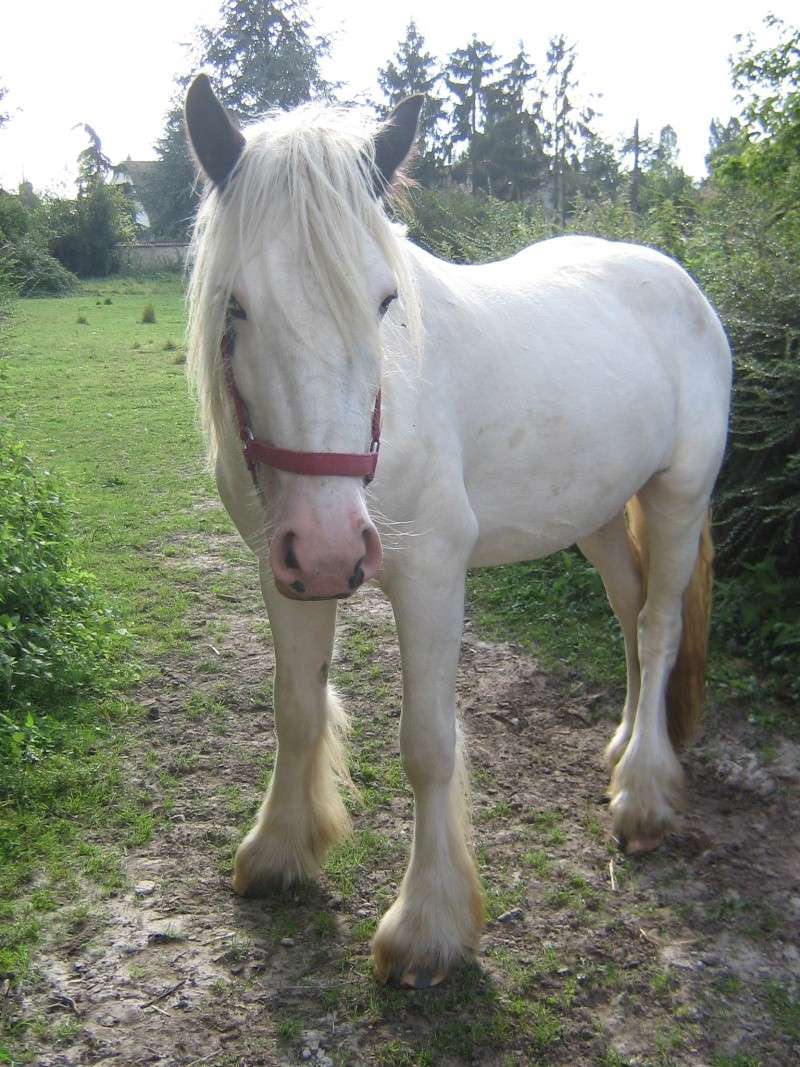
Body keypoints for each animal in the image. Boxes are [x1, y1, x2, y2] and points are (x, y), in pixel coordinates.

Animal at [186, 78, 733, 985]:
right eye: (237, 304)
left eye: (384, 301)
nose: (334, 546)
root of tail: (678, 279)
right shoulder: (283, 570)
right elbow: (297, 708)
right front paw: (279, 850)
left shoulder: (431, 575)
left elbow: (428, 745)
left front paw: (427, 927)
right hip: (595, 514)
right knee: (629, 614)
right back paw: (623, 743)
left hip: (678, 496)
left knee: (658, 627)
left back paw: (644, 791)